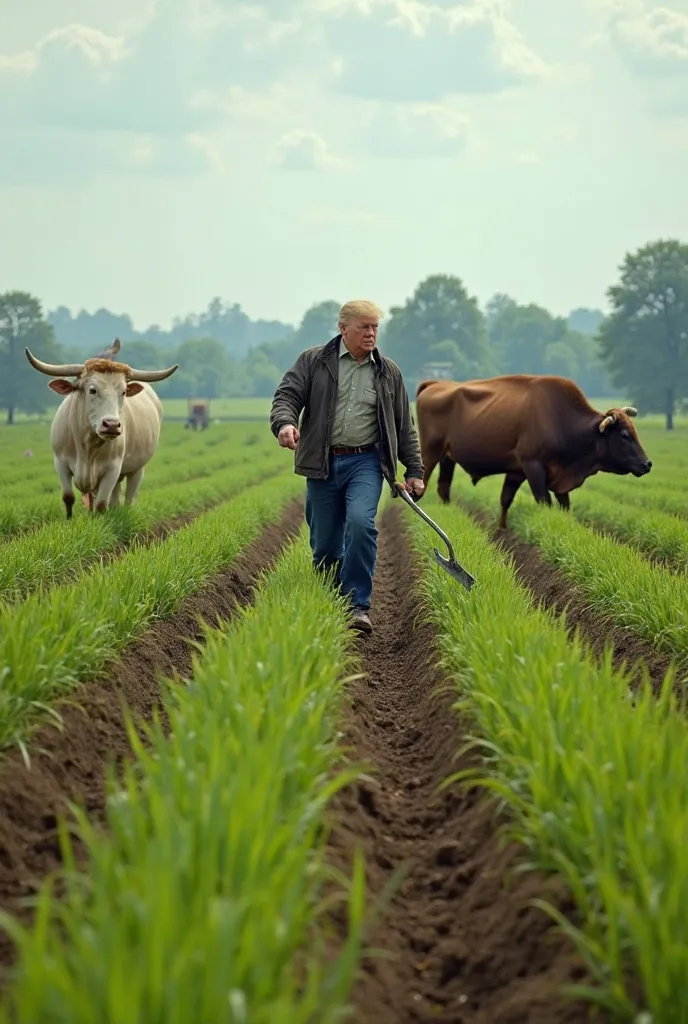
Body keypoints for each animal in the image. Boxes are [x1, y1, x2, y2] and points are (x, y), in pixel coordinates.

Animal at [413, 374, 651, 528]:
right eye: (624, 435)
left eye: (635, 431)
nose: (647, 464)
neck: (561, 420)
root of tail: (433, 385)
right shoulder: (533, 467)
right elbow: (544, 501)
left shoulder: (519, 472)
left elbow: (508, 499)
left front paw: (501, 530)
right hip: (429, 454)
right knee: (421, 486)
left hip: (447, 458)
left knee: (443, 488)